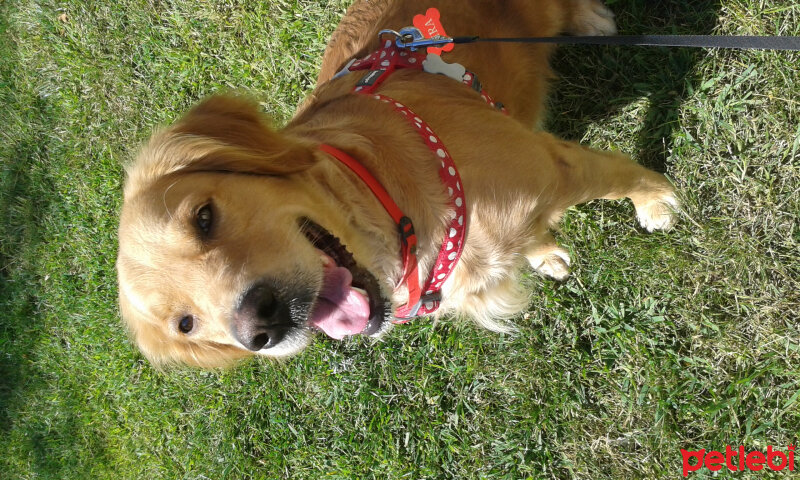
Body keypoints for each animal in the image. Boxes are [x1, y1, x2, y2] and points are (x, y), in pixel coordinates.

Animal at [119, 0, 680, 368]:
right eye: (185, 324)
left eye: (204, 217)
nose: (261, 326)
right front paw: (545, 252)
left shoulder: (553, 163)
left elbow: (624, 174)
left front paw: (656, 202)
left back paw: (592, 20)